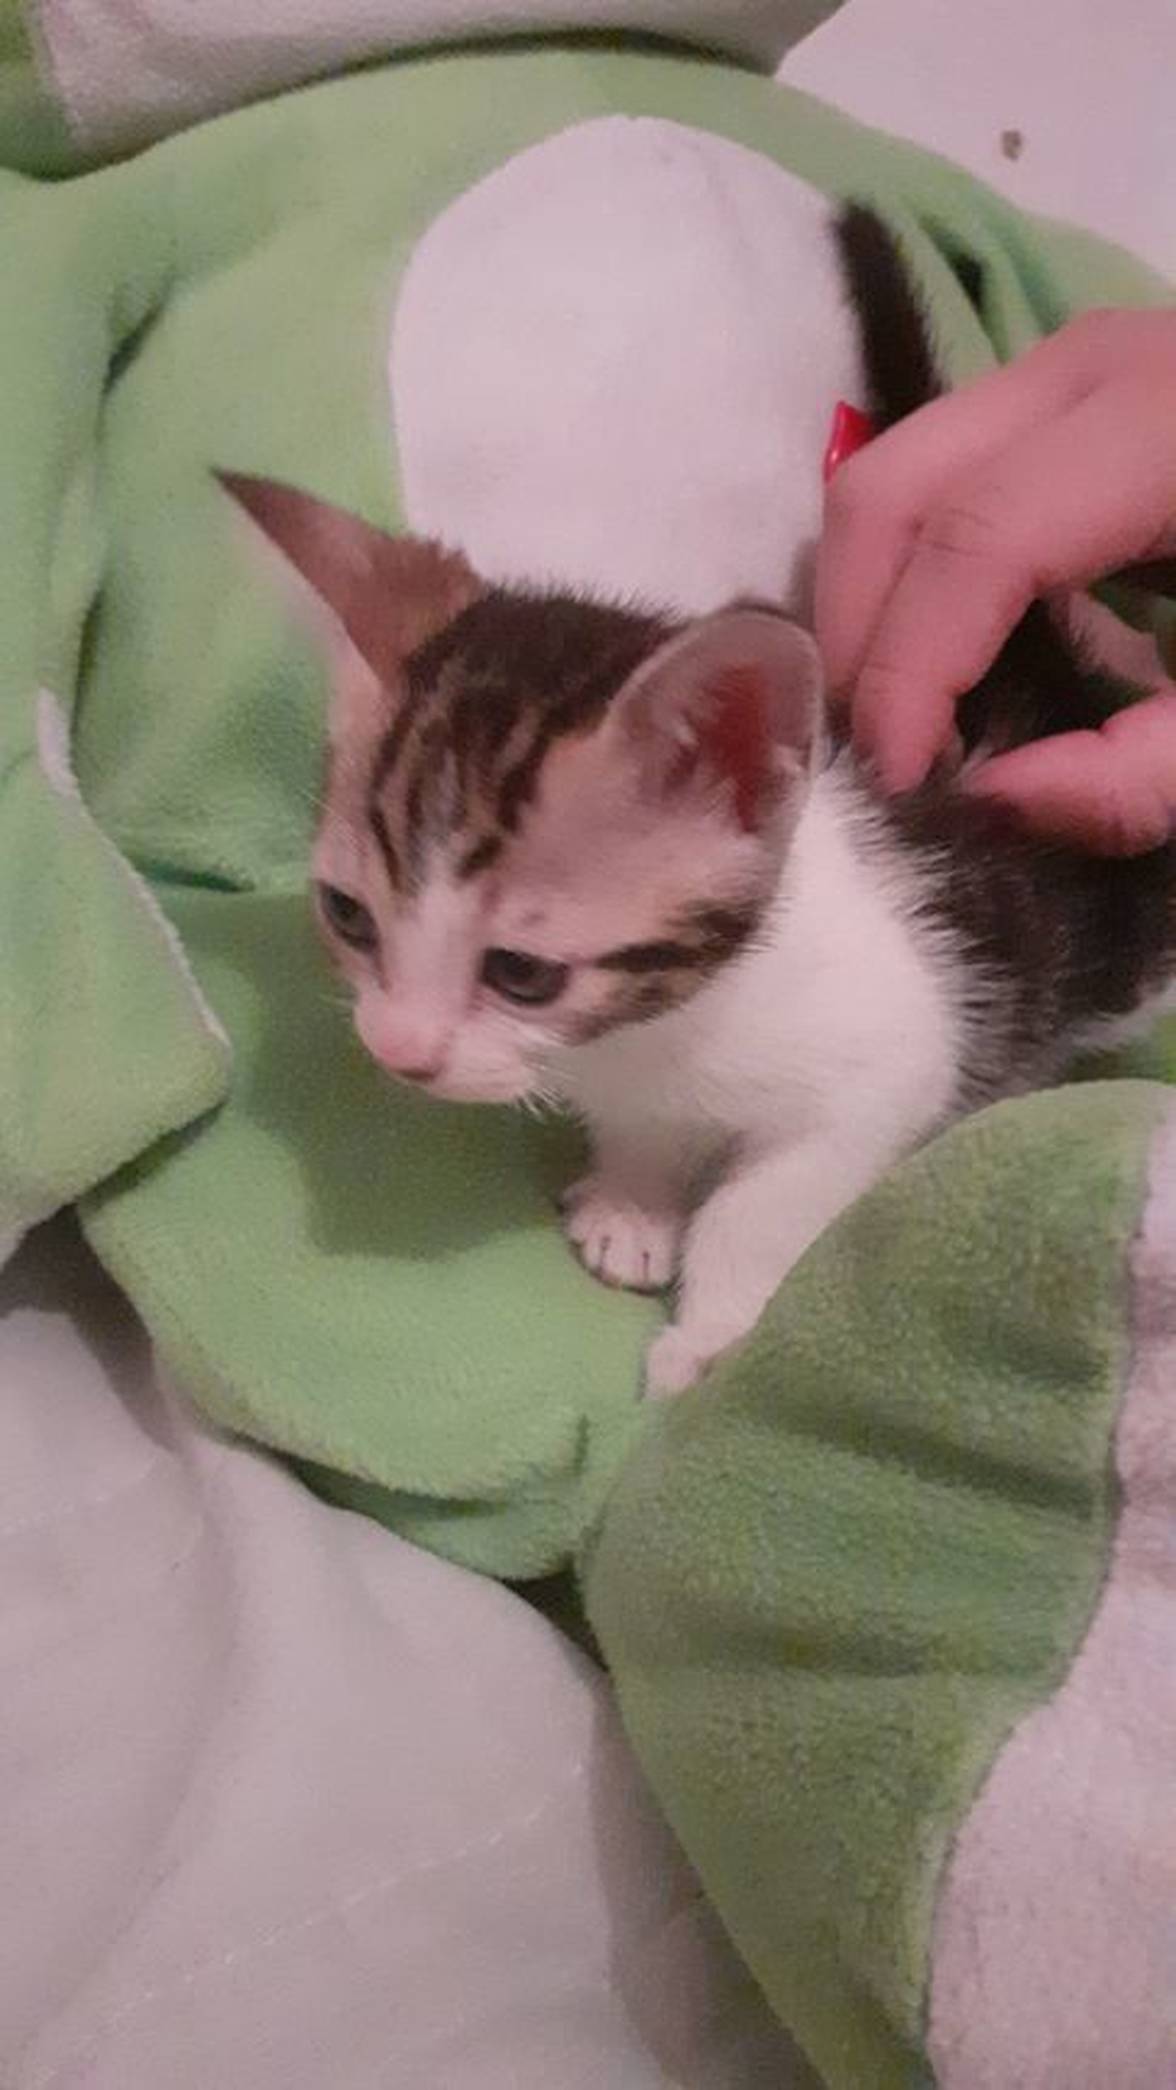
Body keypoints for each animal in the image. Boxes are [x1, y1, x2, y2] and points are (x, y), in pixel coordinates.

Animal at [220, 206, 1176, 1397]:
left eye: (522, 973)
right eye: (349, 915)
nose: (400, 1053)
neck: (661, 1026)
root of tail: (1042, 684)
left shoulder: (891, 1061)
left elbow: (766, 1205)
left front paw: (713, 1333)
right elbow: (647, 1134)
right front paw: (635, 1203)